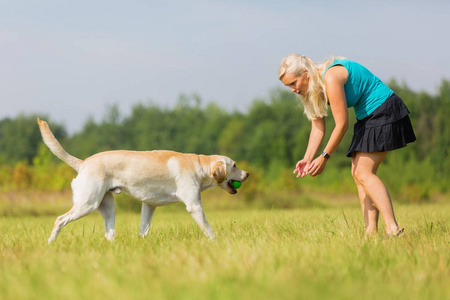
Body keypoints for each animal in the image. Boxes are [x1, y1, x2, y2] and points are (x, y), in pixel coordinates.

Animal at [37, 119, 250, 244]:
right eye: (234, 165)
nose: (247, 174)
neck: (199, 165)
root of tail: (83, 163)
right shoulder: (194, 206)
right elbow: (208, 228)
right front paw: (216, 242)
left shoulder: (149, 205)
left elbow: (143, 230)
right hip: (87, 204)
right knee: (60, 220)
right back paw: (49, 244)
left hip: (107, 207)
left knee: (109, 233)